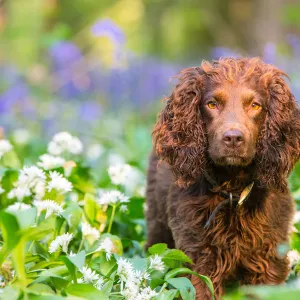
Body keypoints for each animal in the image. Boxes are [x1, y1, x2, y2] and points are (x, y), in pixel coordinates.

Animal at [145, 57, 300, 298]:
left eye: (255, 105)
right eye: (212, 104)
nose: (233, 138)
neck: (233, 191)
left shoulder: (268, 262)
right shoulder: (199, 261)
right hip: (158, 224)